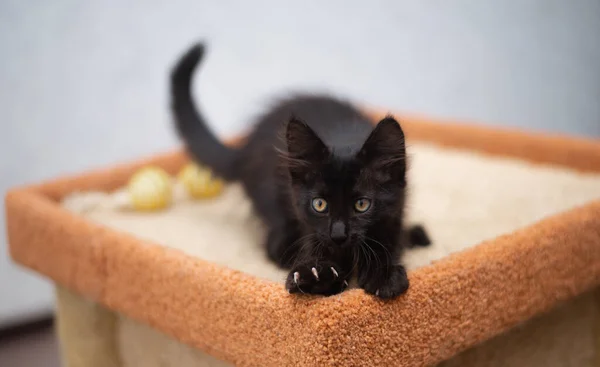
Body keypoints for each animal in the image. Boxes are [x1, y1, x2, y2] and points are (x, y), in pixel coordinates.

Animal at [171, 43, 428, 302]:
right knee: (275, 245)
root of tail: (245, 149)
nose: (338, 235)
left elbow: (389, 241)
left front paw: (383, 273)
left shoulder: (395, 213)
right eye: (319, 204)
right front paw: (318, 274)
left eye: (362, 205)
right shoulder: (310, 229)